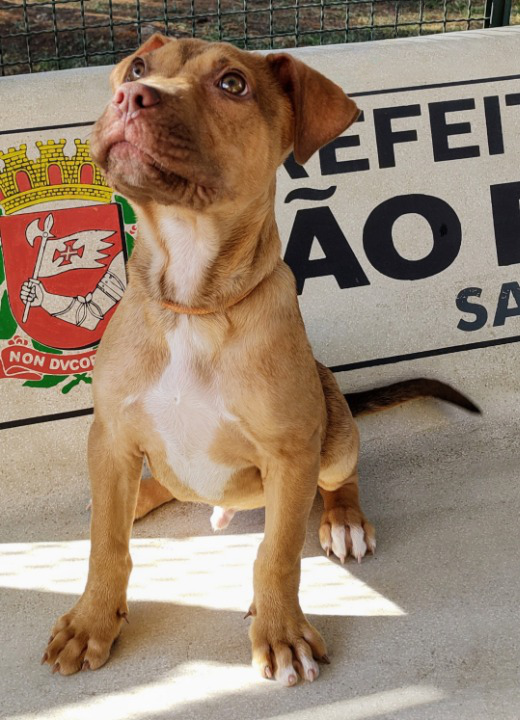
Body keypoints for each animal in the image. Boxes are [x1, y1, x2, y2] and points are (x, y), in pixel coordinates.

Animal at [41, 35, 480, 688]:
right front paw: (92, 619)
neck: (192, 303)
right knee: (158, 489)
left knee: (340, 478)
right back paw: (134, 499)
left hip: (333, 434)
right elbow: (106, 546)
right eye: (139, 67)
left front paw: (280, 633)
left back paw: (344, 521)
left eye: (232, 84)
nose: (130, 95)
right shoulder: (113, 432)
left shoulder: (291, 453)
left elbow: (276, 556)